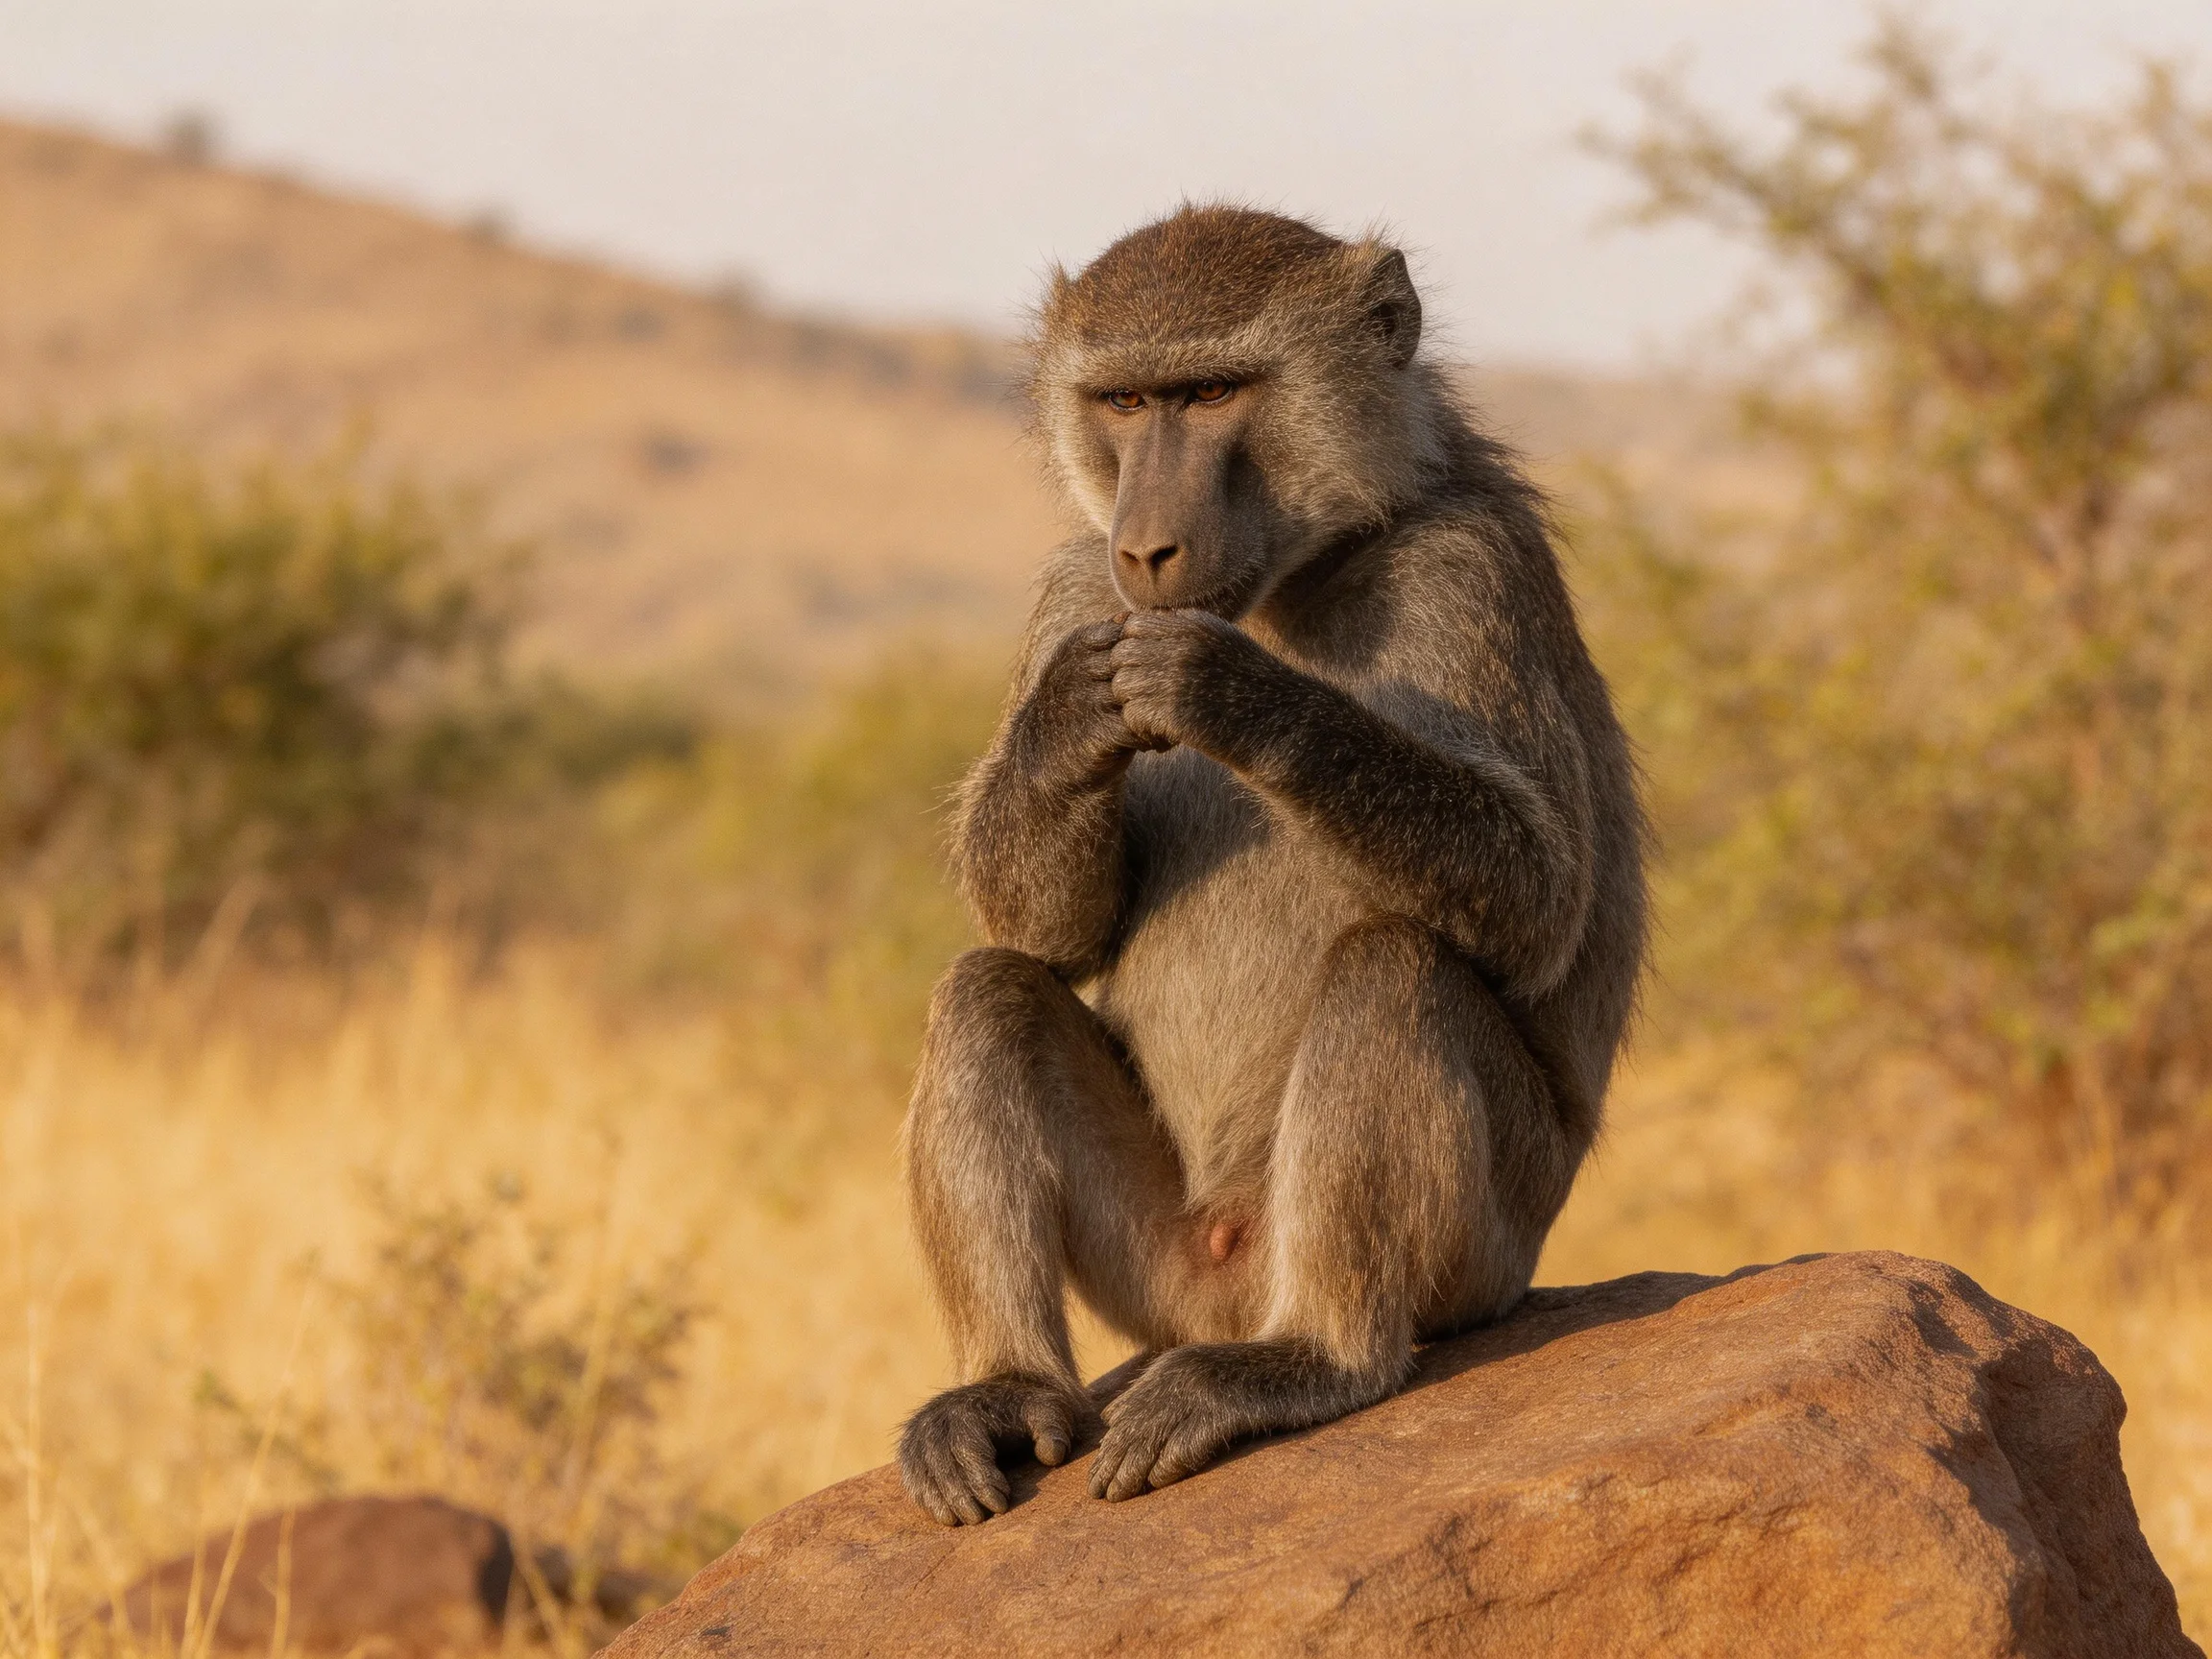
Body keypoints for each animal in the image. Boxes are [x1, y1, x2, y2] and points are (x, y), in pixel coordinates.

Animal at [897, 205, 1648, 1526]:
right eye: (1126, 402)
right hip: (1157, 1266)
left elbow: (1540, 900)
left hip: (1494, 1244)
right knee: (986, 988)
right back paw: (1005, 1391)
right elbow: (1044, 932)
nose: (1148, 547)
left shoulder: (1473, 566)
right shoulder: (1075, 588)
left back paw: (1311, 1361)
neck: (1303, 567)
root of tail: (1236, 1292)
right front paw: (1075, 716)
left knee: (1394, 963)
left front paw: (1231, 689)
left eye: (1211, 392)